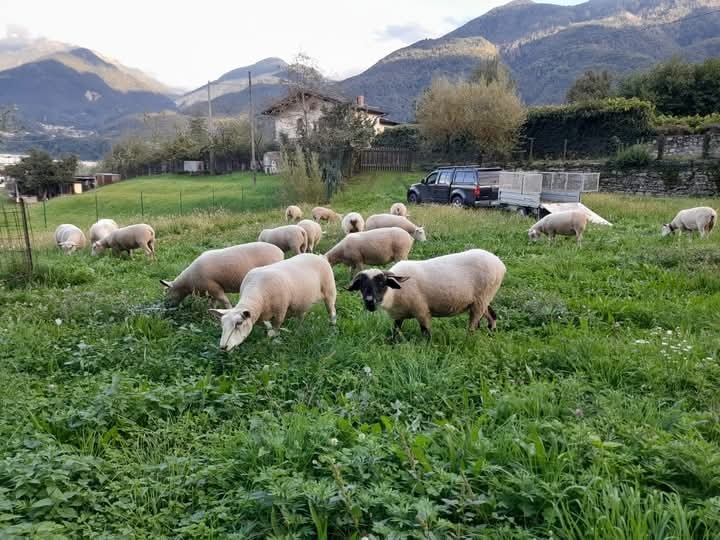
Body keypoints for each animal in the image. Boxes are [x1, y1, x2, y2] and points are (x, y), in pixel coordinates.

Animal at [208, 253, 337, 352]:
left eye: (239, 323)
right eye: (222, 324)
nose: (223, 347)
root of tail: (319, 256)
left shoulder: (280, 311)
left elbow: (276, 328)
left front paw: (274, 341)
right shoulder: (260, 316)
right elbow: (268, 327)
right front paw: (268, 336)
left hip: (330, 291)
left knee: (332, 310)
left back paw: (332, 326)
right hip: (302, 300)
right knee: (301, 315)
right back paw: (299, 329)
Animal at [348, 249, 506, 339]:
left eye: (381, 283)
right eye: (361, 285)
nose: (369, 301)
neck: (394, 294)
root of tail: (500, 264)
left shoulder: (422, 311)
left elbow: (426, 332)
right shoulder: (399, 314)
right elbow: (395, 331)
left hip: (482, 298)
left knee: (473, 325)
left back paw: (469, 339)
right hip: (481, 300)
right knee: (492, 315)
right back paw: (492, 335)